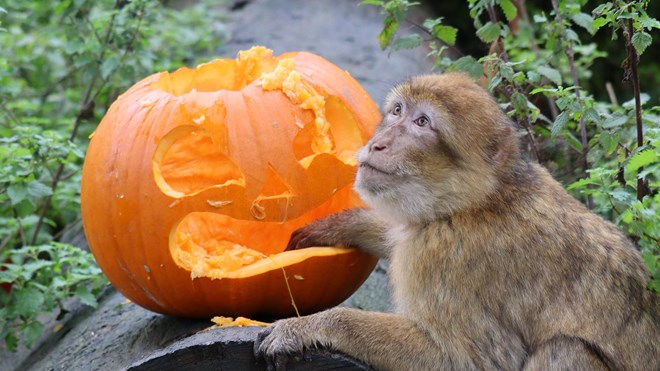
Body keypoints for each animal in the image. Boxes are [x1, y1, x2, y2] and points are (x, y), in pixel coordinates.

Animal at [251, 74, 656, 370]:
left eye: (422, 122)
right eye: (397, 111)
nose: (378, 143)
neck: (473, 203)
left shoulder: (445, 258)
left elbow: (470, 361)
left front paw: (313, 325)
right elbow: (400, 230)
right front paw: (341, 225)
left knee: (564, 349)